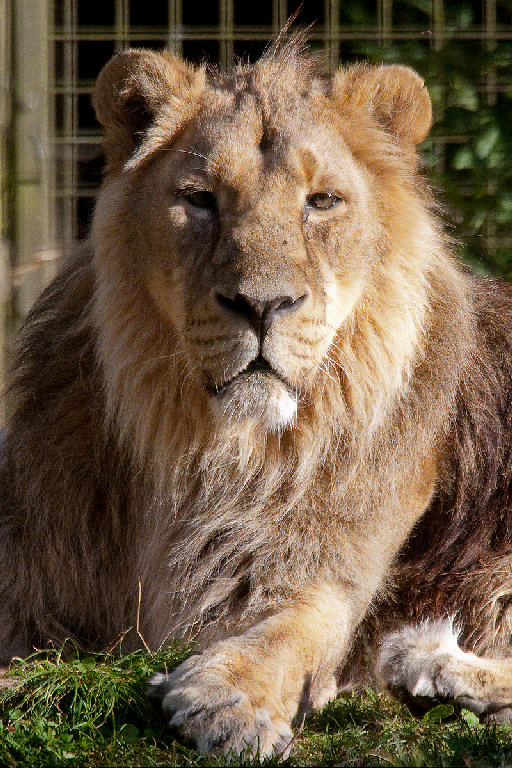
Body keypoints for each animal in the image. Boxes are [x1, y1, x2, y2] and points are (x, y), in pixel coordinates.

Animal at [2, 36, 512, 759]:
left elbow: (293, 626)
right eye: (200, 199)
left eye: (322, 201)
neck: (211, 454)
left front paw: (230, 699)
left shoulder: (325, 573)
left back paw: (432, 664)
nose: (263, 305)